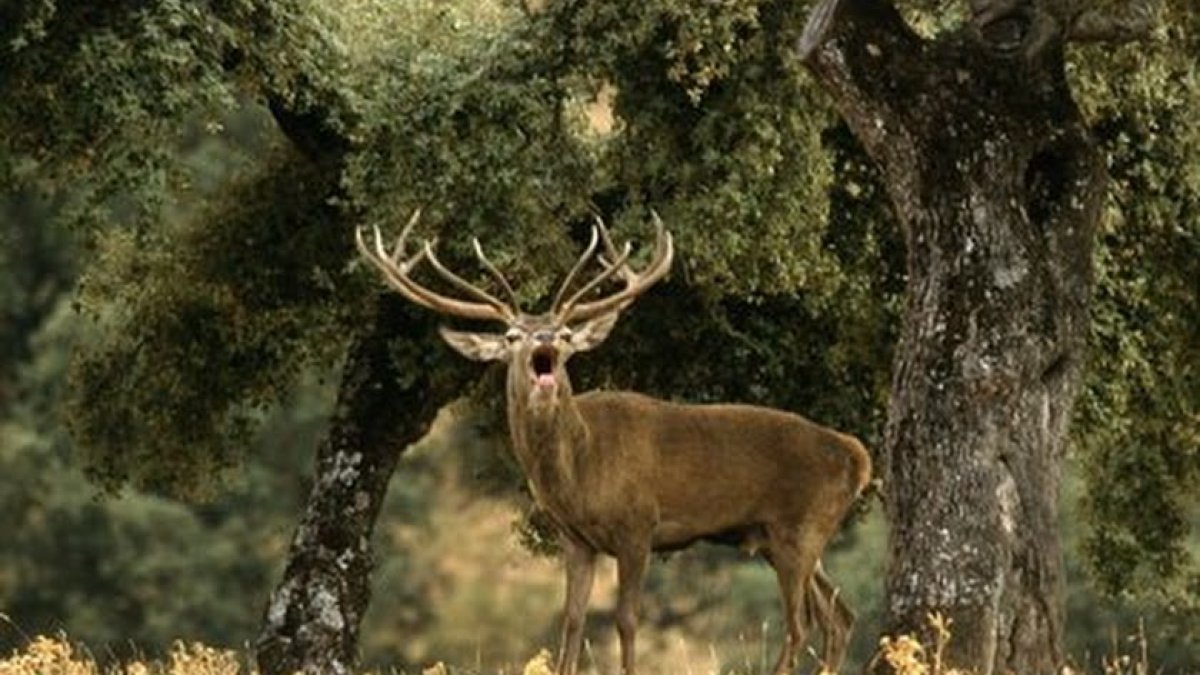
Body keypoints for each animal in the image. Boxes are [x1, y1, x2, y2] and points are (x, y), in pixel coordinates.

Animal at [355, 211, 872, 675]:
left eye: (566, 332)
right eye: (512, 335)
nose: (545, 338)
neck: (580, 470)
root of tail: (857, 455)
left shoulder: (638, 523)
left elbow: (626, 619)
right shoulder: (576, 538)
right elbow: (571, 620)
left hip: (800, 527)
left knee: (801, 625)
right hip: (783, 536)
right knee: (840, 617)